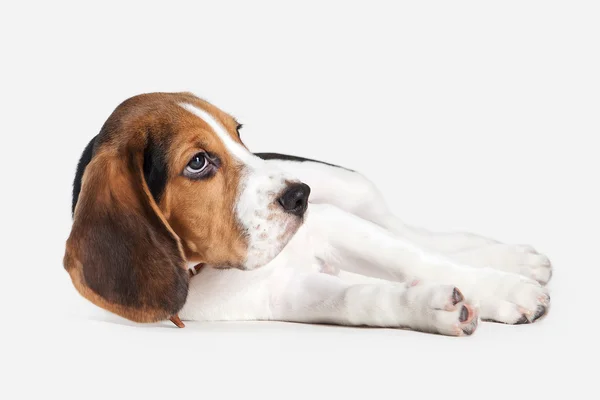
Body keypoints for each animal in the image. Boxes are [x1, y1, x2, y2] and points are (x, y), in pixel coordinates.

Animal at [63, 92, 552, 336]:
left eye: (238, 134)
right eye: (198, 163)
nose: (300, 196)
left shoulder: (335, 225)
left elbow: (418, 259)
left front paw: (508, 289)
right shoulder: (285, 295)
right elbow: (359, 299)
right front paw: (429, 306)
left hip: (352, 196)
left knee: (418, 237)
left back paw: (517, 261)